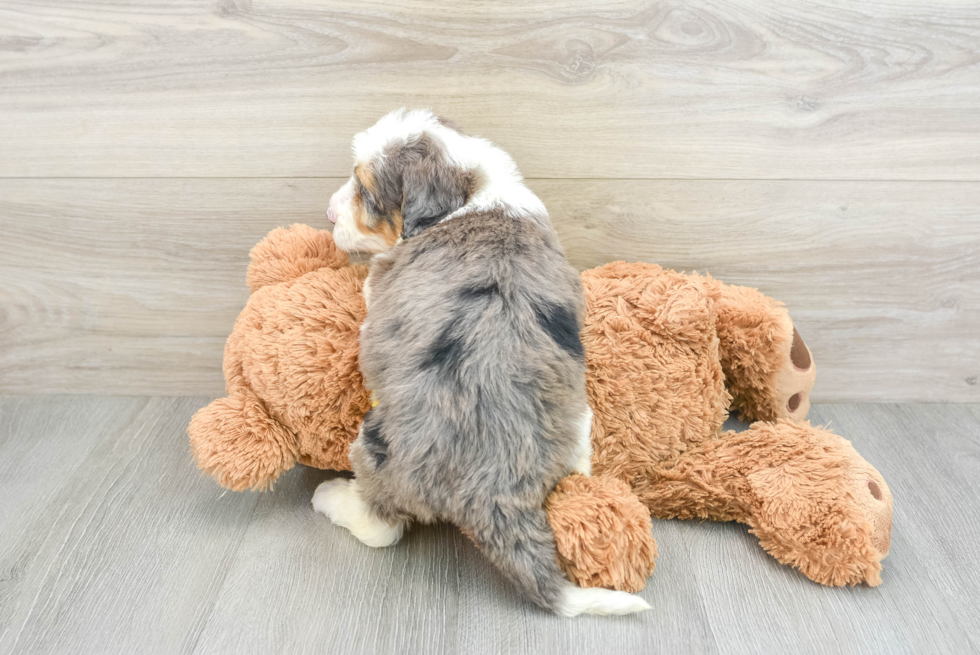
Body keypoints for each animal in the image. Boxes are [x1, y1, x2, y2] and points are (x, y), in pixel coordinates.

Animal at [314, 107, 652, 616]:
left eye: (366, 192)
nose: (330, 213)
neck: (474, 190)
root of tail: (494, 488)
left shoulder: (383, 280)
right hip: (579, 419)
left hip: (378, 447)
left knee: (381, 527)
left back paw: (332, 499)